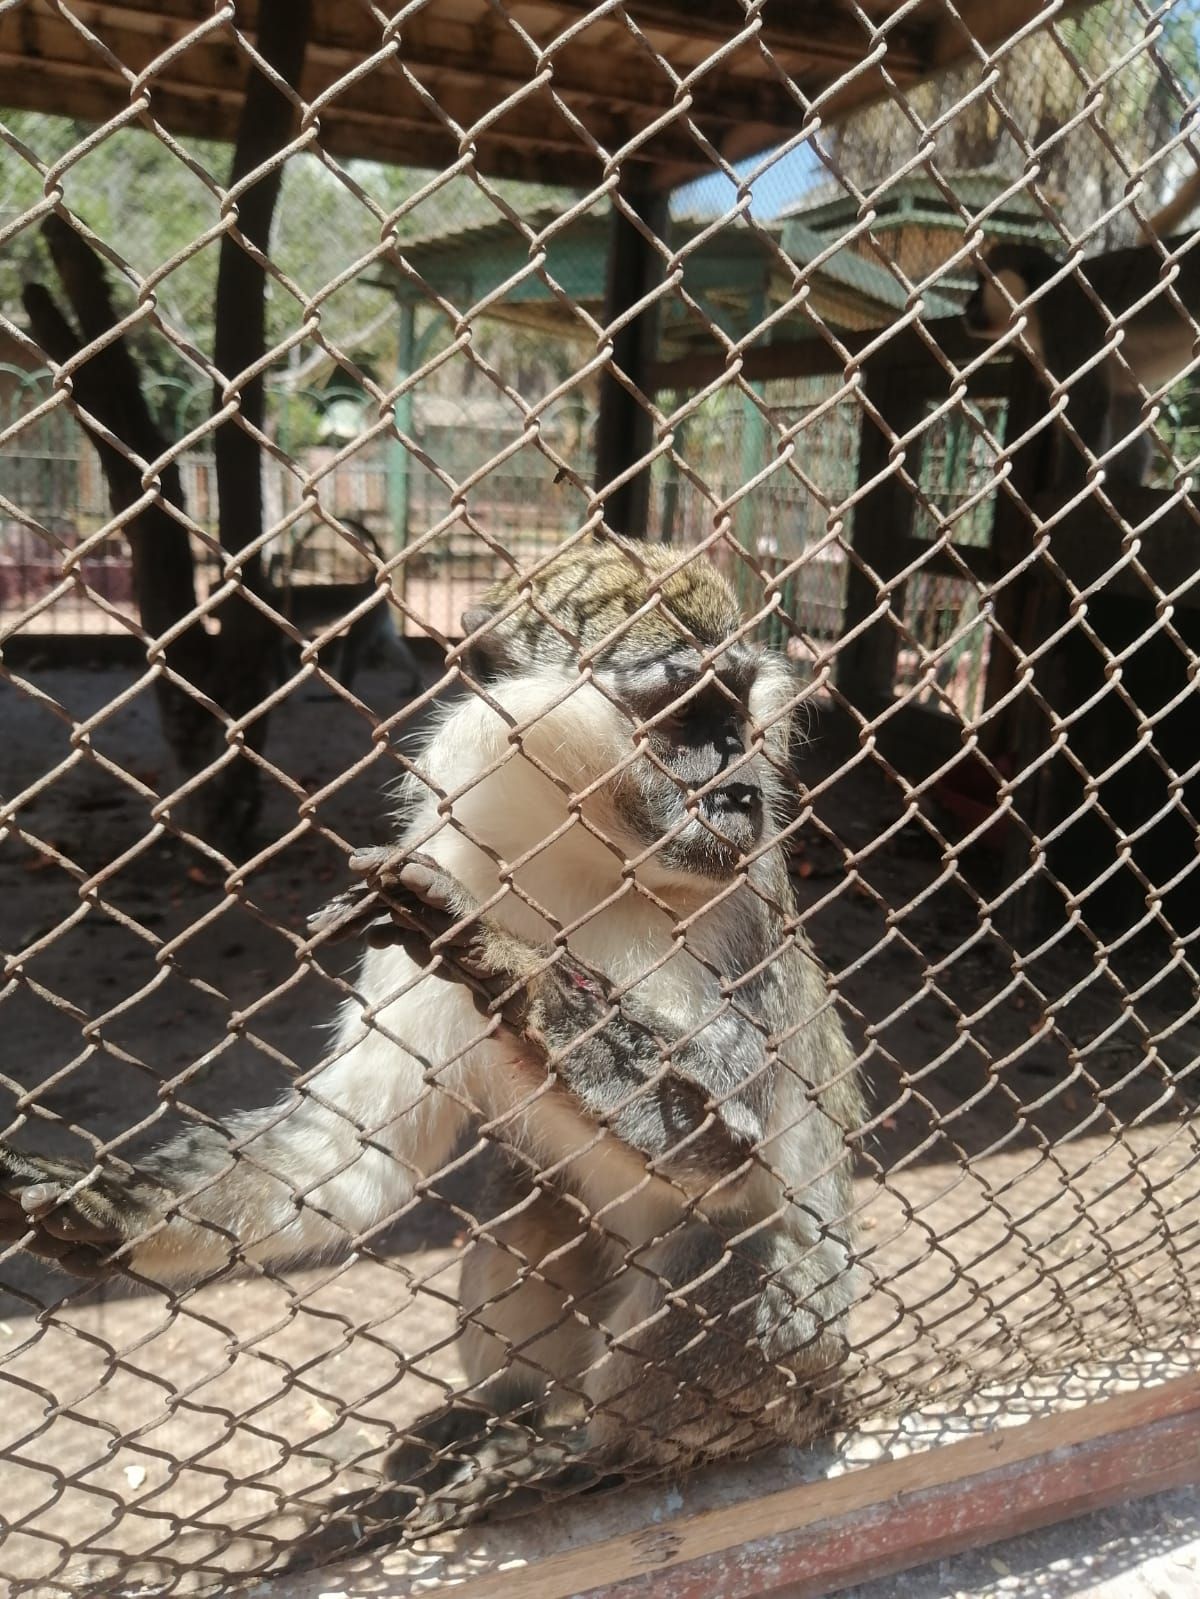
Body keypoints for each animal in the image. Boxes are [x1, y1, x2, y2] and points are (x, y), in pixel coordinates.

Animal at [0, 535, 863, 1531]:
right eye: (686, 709)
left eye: (735, 708)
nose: (739, 792)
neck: (586, 845)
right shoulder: (439, 853)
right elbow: (354, 1146)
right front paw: (116, 1205)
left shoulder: (743, 897)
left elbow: (730, 1131)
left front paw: (510, 967)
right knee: (532, 1207)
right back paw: (502, 1410)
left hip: (799, 1361)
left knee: (727, 1244)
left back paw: (583, 1461)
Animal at [963, 228, 1200, 489]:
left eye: (980, 283)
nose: (968, 303)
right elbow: (1127, 402)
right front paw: (1123, 482)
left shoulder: (1065, 323)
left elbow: (1088, 402)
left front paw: (1070, 486)